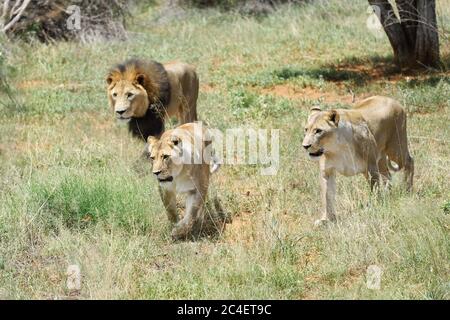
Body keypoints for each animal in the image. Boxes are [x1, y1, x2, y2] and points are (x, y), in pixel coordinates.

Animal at [302, 95, 414, 225]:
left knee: (410, 161)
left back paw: (408, 190)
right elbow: (327, 196)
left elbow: (374, 189)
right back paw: (388, 194)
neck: (337, 148)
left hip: (395, 149)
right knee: (387, 174)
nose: (305, 146)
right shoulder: (327, 172)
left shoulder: (371, 167)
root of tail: (393, 100)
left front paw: (374, 207)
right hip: (381, 157)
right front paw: (326, 220)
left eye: (318, 131)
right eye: (306, 130)